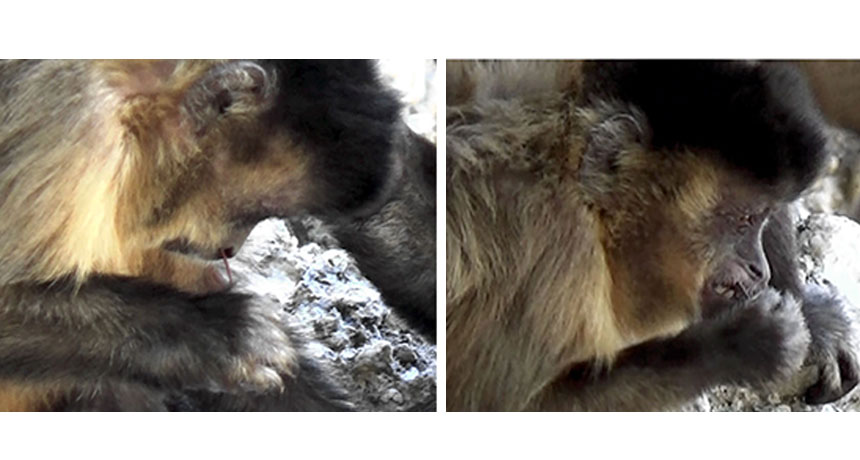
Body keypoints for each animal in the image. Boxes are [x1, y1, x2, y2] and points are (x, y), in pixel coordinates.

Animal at [446, 60, 860, 411]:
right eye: (744, 220)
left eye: (763, 218)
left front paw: (809, 316)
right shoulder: (553, 247)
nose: (760, 269)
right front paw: (742, 345)